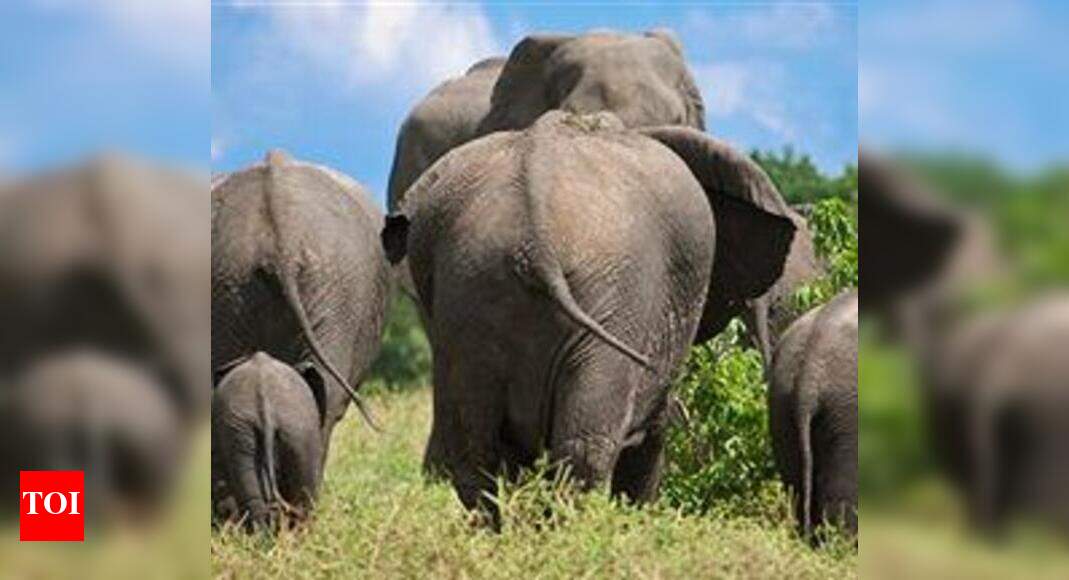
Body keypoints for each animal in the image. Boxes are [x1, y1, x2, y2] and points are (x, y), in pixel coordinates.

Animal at [382, 111, 794, 513]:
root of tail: (535, 234)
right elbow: (651, 438)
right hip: (613, 294)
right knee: (585, 447)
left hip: (471, 288)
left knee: (475, 451)